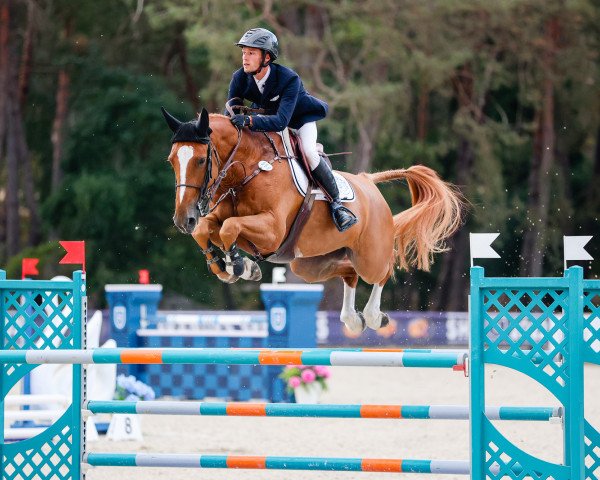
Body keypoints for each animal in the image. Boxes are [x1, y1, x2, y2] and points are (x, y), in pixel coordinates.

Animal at [162, 108, 462, 334]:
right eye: (171, 161)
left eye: (201, 161)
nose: (183, 219)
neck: (247, 171)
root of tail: (367, 181)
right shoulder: (222, 219)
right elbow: (207, 229)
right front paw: (228, 266)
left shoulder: (272, 230)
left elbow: (229, 227)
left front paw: (239, 265)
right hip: (310, 264)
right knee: (349, 273)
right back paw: (353, 319)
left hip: (369, 256)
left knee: (382, 271)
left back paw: (374, 316)